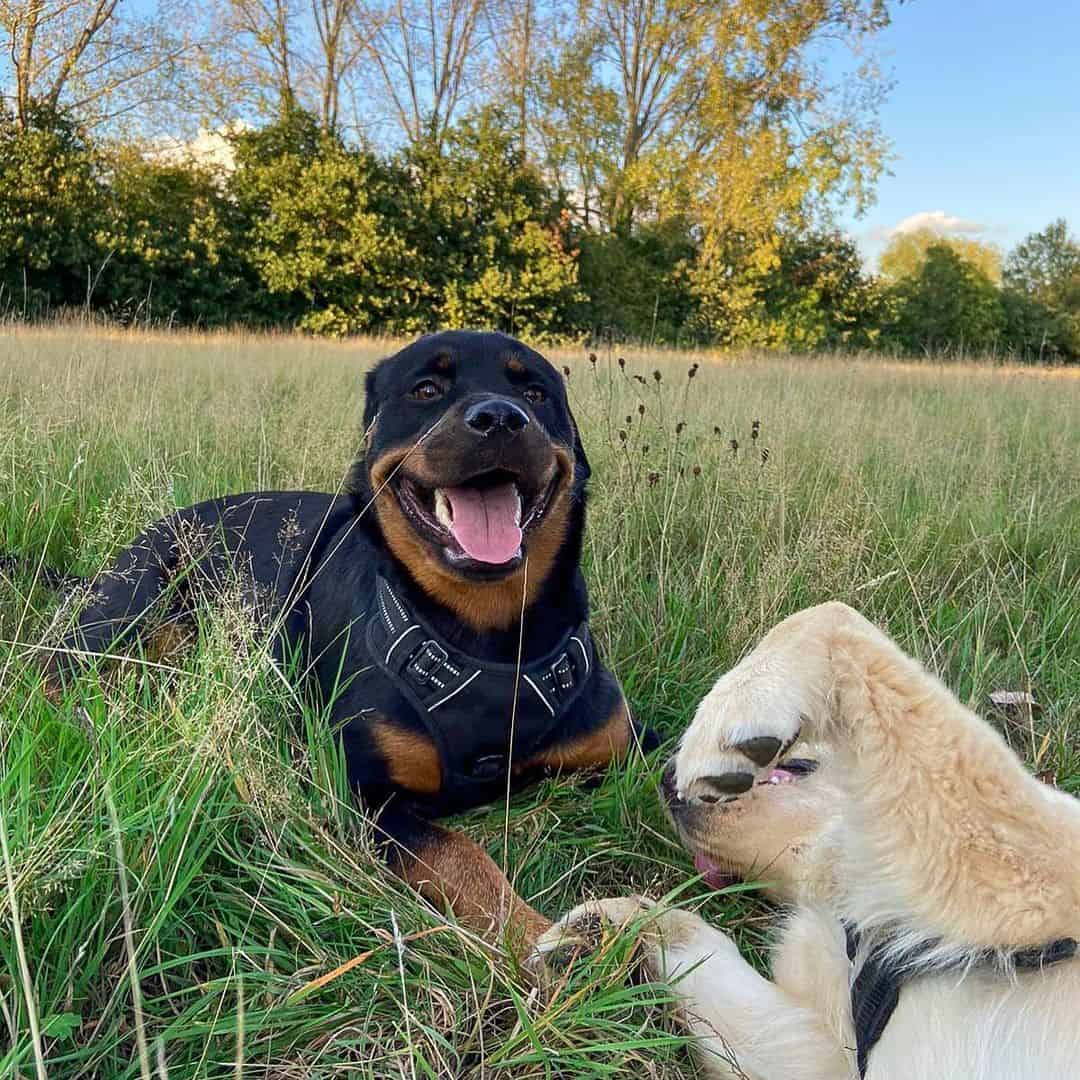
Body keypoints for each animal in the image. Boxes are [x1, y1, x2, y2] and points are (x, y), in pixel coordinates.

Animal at [39, 330, 648, 954]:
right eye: (426, 389)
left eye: (535, 392)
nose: (500, 417)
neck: (488, 637)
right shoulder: (360, 794)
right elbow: (460, 852)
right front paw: (539, 940)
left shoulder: (628, 745)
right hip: (125, 614)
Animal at [537, 604, 1080, 1075]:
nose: (667, 781)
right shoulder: (827, 1054)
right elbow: (689, 933)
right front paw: (599, 927)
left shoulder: (1026, 862)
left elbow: (832, 617)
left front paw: (730, 713)